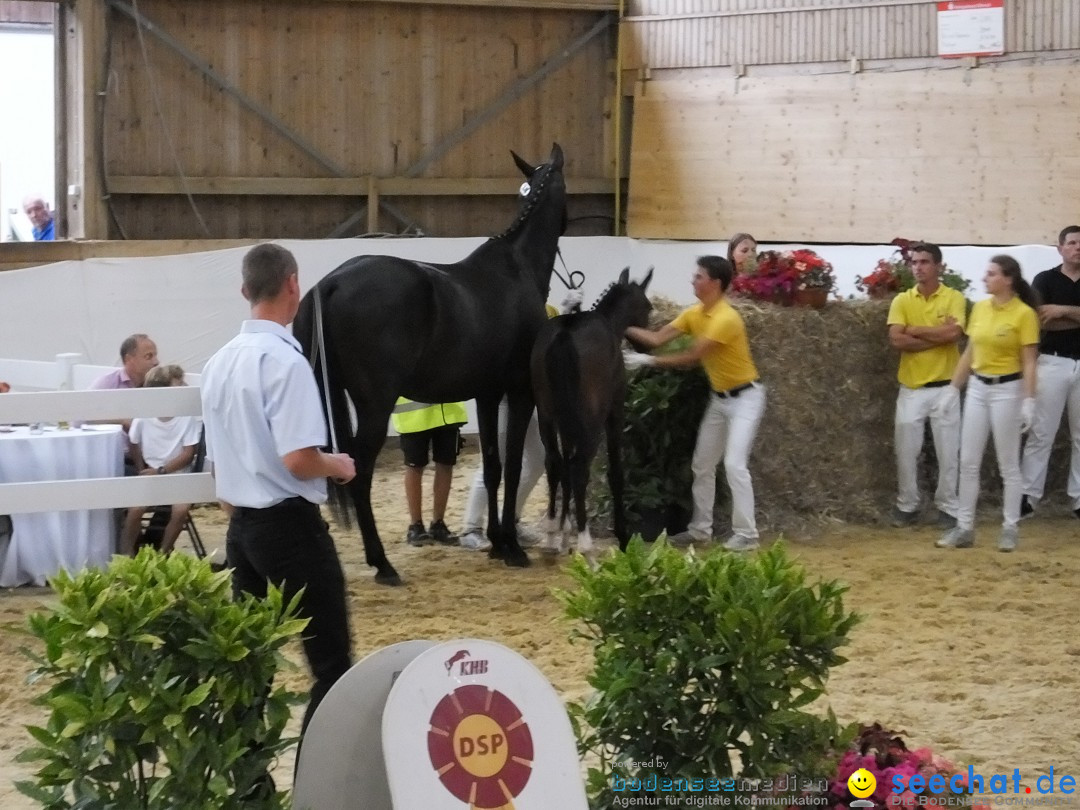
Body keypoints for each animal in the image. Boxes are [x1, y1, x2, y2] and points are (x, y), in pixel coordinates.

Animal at [291, 141, 570, 583]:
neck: (517, 269)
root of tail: (331, 282)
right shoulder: (519, 392)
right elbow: (511, 465)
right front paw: (511, 546)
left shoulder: (487, 395)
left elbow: (492, 466)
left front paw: (497, 542)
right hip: (375, 404)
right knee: (360, 472)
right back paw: (382, 564)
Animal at [529, 266, 648, 557]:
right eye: (648, 307)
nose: (648, 345)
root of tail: (564, 335)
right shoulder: (614, 413)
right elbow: (615, 472)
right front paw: (623, 536)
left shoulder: (564, 421)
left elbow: (563, 467)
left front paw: (563, 533)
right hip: (590, 422)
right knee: (579, 466)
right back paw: (585, 544)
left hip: (547, 415)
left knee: (555, 463)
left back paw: (552, 536)